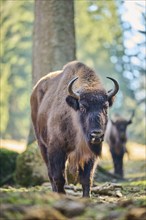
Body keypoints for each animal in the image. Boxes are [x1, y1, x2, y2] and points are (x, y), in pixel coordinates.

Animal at [30, 61, 119, 197]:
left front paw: (86, 197)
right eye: (82, 107)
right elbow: (59, 177)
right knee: (50, 173)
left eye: (105, 107)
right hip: (42, 144)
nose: (97, 135)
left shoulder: (89, 154)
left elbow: (87, 178)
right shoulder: (56, 149)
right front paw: (61, 195)